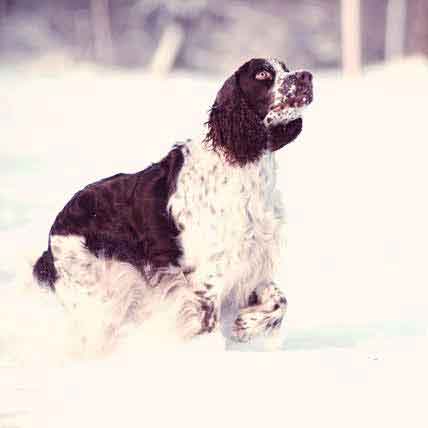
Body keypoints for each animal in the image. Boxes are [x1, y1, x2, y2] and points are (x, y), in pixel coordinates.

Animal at [33, 56, 312, 352]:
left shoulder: (252, 260)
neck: (242, 162)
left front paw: (245, 325)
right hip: (95, 294)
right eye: (262, 74)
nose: (307, 76)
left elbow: (279, 300)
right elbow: (207, 323)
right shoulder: (207, 273)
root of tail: (53, 235)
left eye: (286, 68)